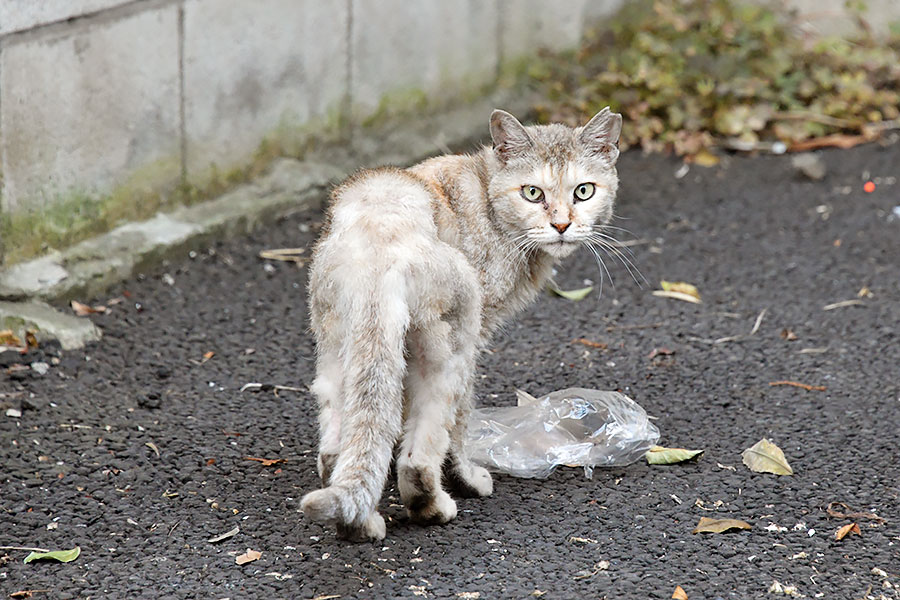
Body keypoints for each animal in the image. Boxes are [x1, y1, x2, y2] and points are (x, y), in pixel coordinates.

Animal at [298, 105, 624, 540]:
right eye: (532, 193)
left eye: (583, 192)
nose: (561, 225)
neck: (488, 199)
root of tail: (381, 233)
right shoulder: (477, 335)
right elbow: (459, 426)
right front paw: (466, 478)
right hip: (450, 348)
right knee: (419, 458)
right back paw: (438, 503)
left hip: (341, 350)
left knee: (339, 450)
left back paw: (359, 522)